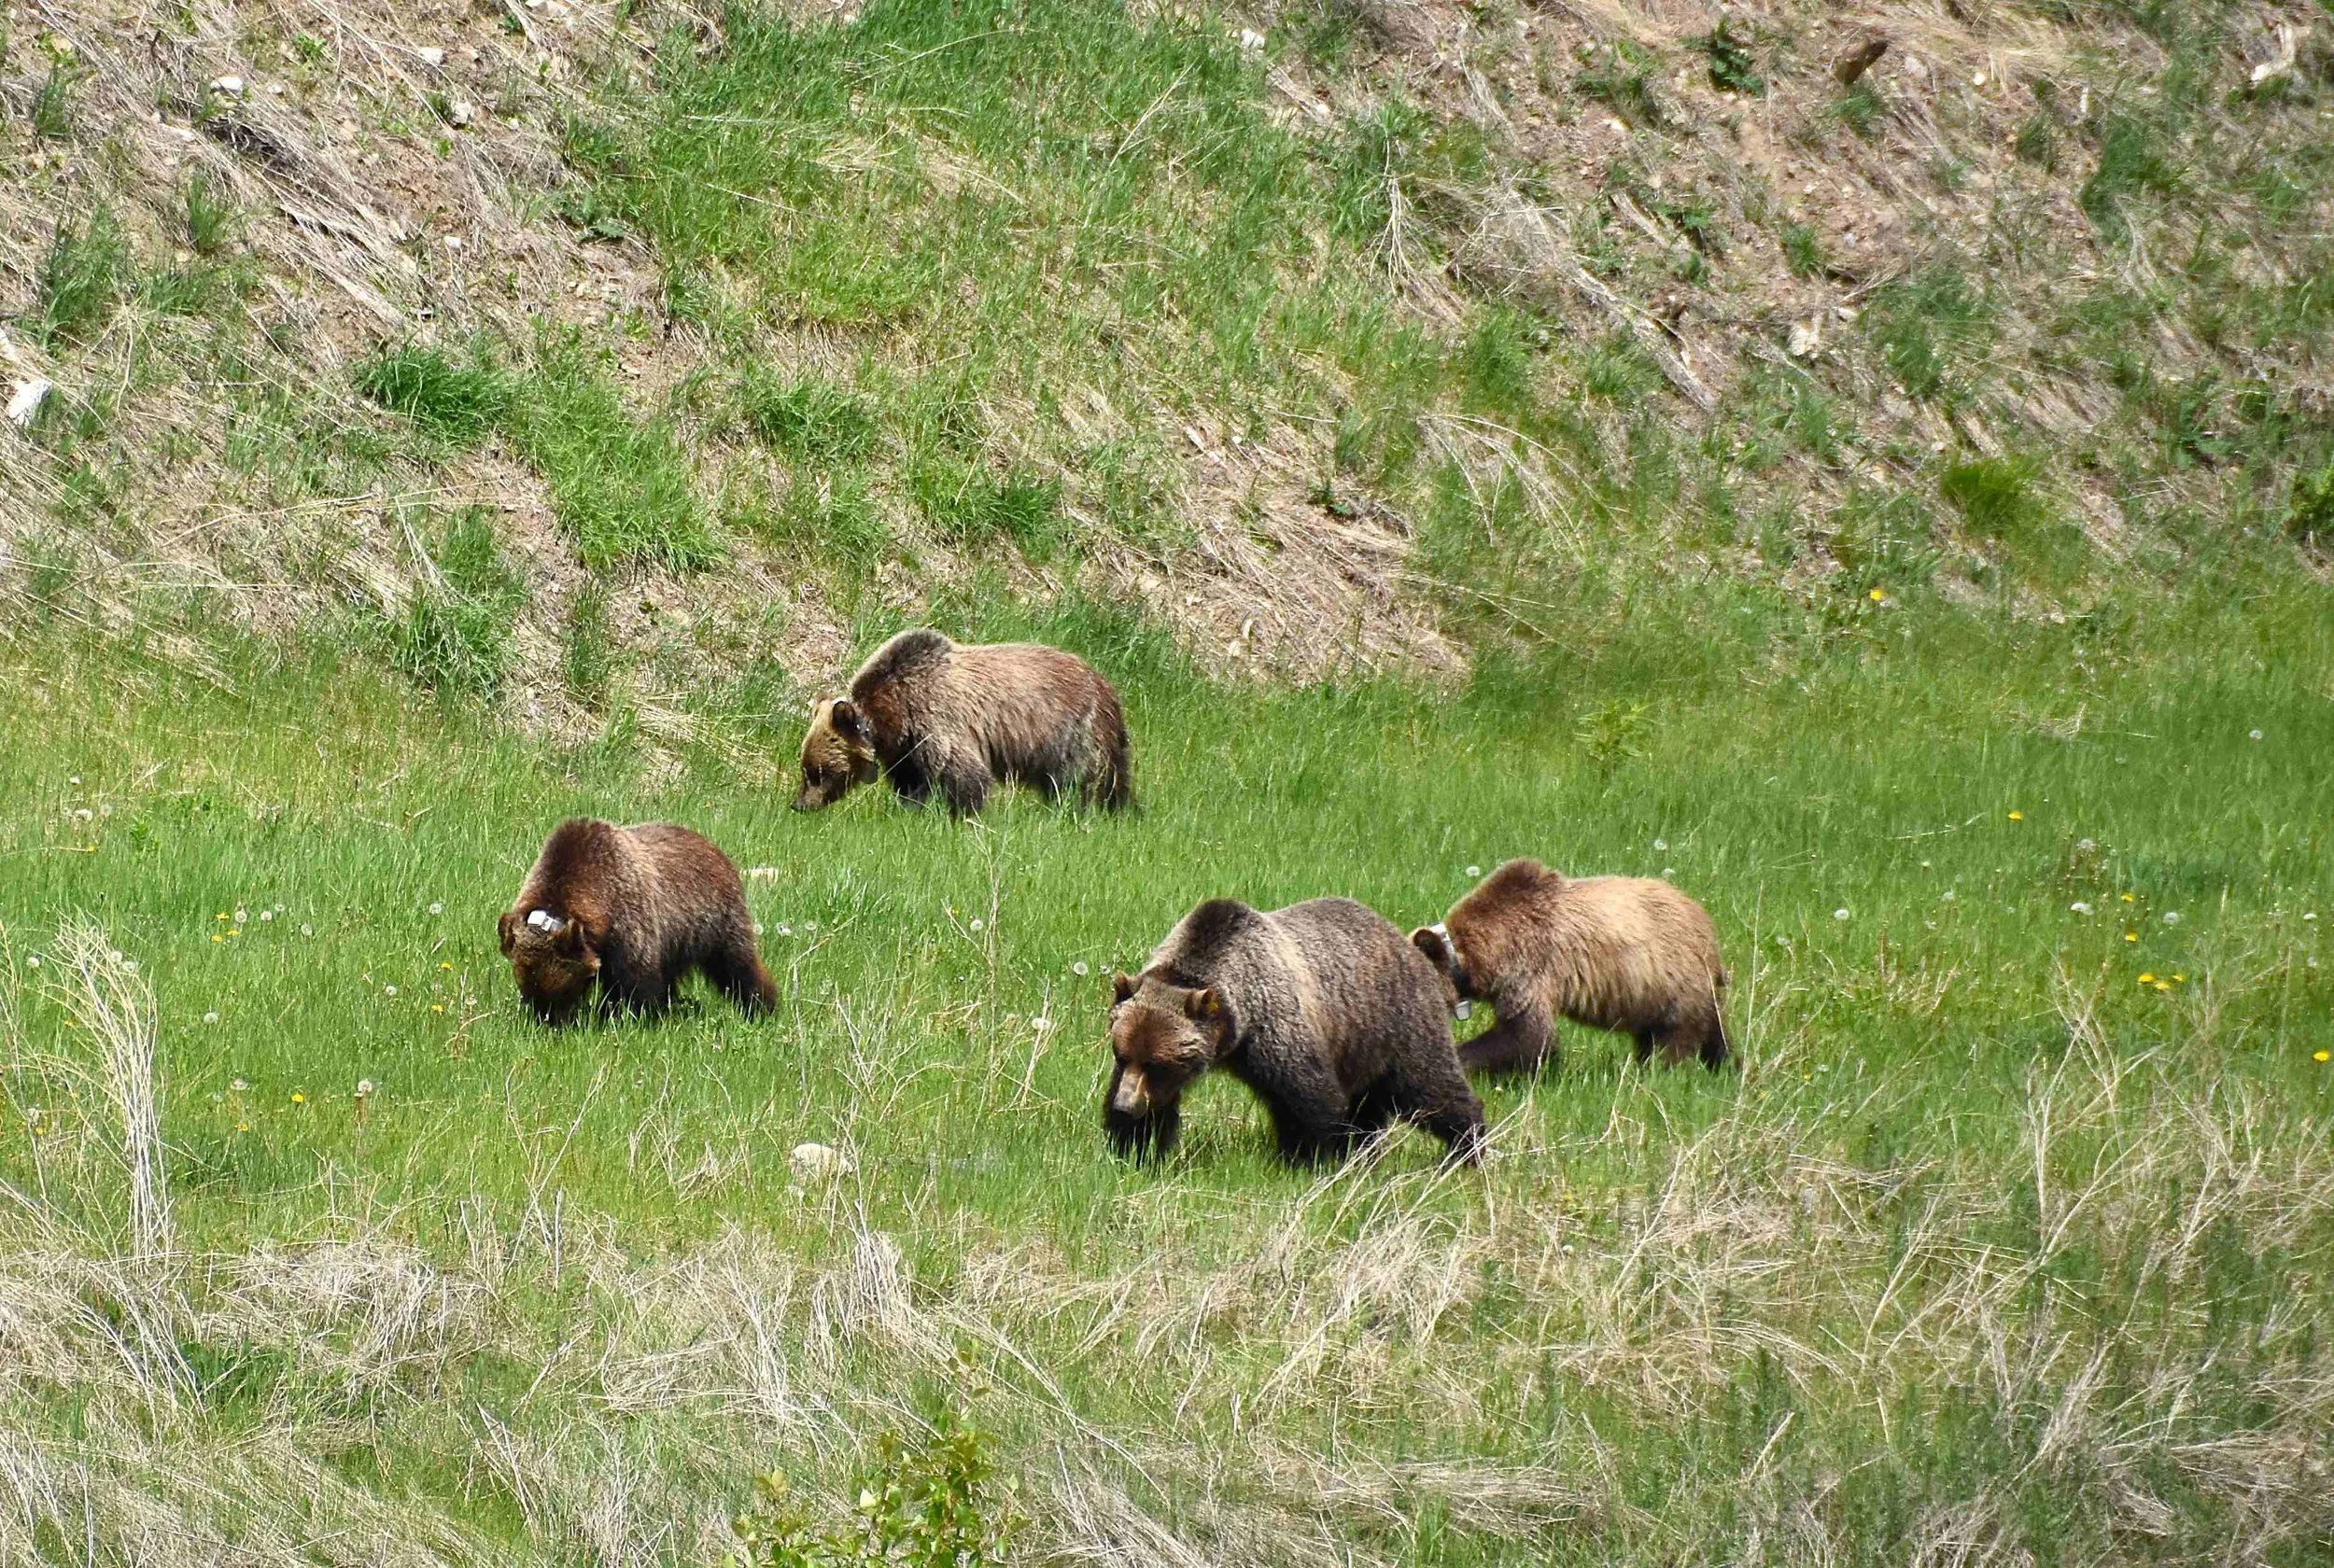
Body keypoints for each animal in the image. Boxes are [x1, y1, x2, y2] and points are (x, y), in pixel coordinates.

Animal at [497, 818, 776, 1026]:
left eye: (563, 990)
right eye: (528, 991)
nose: (547, 1021)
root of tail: (717, 850)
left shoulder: (630, 925)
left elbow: (636, 982)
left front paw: (633, 1016)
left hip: (717, 924)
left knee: (737, 965)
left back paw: (763, 1006)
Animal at [793, 628, 1132, 816]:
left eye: (817, 771)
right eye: (806, 767)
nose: (799, 805)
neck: (891, 714)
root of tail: (1106, 685)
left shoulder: (937, 722)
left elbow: (965, 775)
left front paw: (964, 815)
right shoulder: (908, 748)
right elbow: (912, 782)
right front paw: (911, 810)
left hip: (1072, 731)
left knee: (1084, 781)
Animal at [1105, 896, 1484, 1167]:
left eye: (1157, 1064)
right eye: (1122, 1055)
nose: (1125, 1106)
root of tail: (1409, 947)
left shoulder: (1275, 1028)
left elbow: (1307, 1098)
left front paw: (1305, 1157)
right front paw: (1133, 1148)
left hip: (1397, 1023)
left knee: (1429, 1087)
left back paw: (1467, 1147)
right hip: (1359, 1047)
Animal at [1410, 859, 1729, 1074]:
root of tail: (1707, 923)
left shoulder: (1528, 965)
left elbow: (1527, 1035)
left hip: (1674, 978)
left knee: (1673, 1039)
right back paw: (1726, 1066)